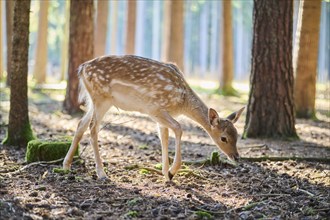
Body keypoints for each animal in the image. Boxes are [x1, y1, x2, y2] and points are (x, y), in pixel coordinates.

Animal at [63, 55, 245, 180]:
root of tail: (82, 69)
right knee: (93, 127)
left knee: (81, 124)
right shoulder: (154, 108)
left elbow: (164, 137)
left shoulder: (160, 115)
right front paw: (171, 171)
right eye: (223, 138)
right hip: (101, 98)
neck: (181, 102)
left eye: (237, 135)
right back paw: (101, 173)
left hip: (94, 100)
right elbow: (178, 128)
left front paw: (166, 174)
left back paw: (66, 165)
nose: (236, 157)